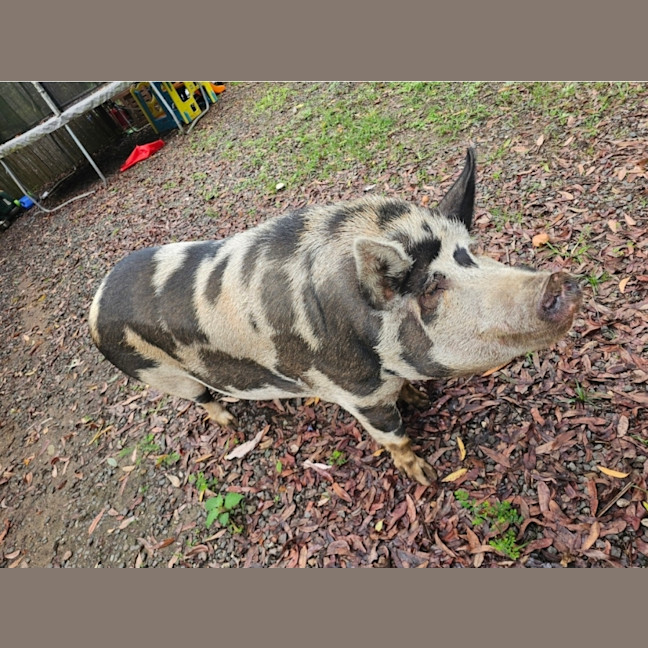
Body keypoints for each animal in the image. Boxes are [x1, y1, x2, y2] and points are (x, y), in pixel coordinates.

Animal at [89, 148, 581, 485]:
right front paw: (425, 477)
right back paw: (229, 423)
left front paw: (420, 400)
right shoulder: (357, 395)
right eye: (431, 287)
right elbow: (394, 437)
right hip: (162, 376)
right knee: (201, 398)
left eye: (473, 254)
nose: (559, 281)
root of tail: (96, 300)